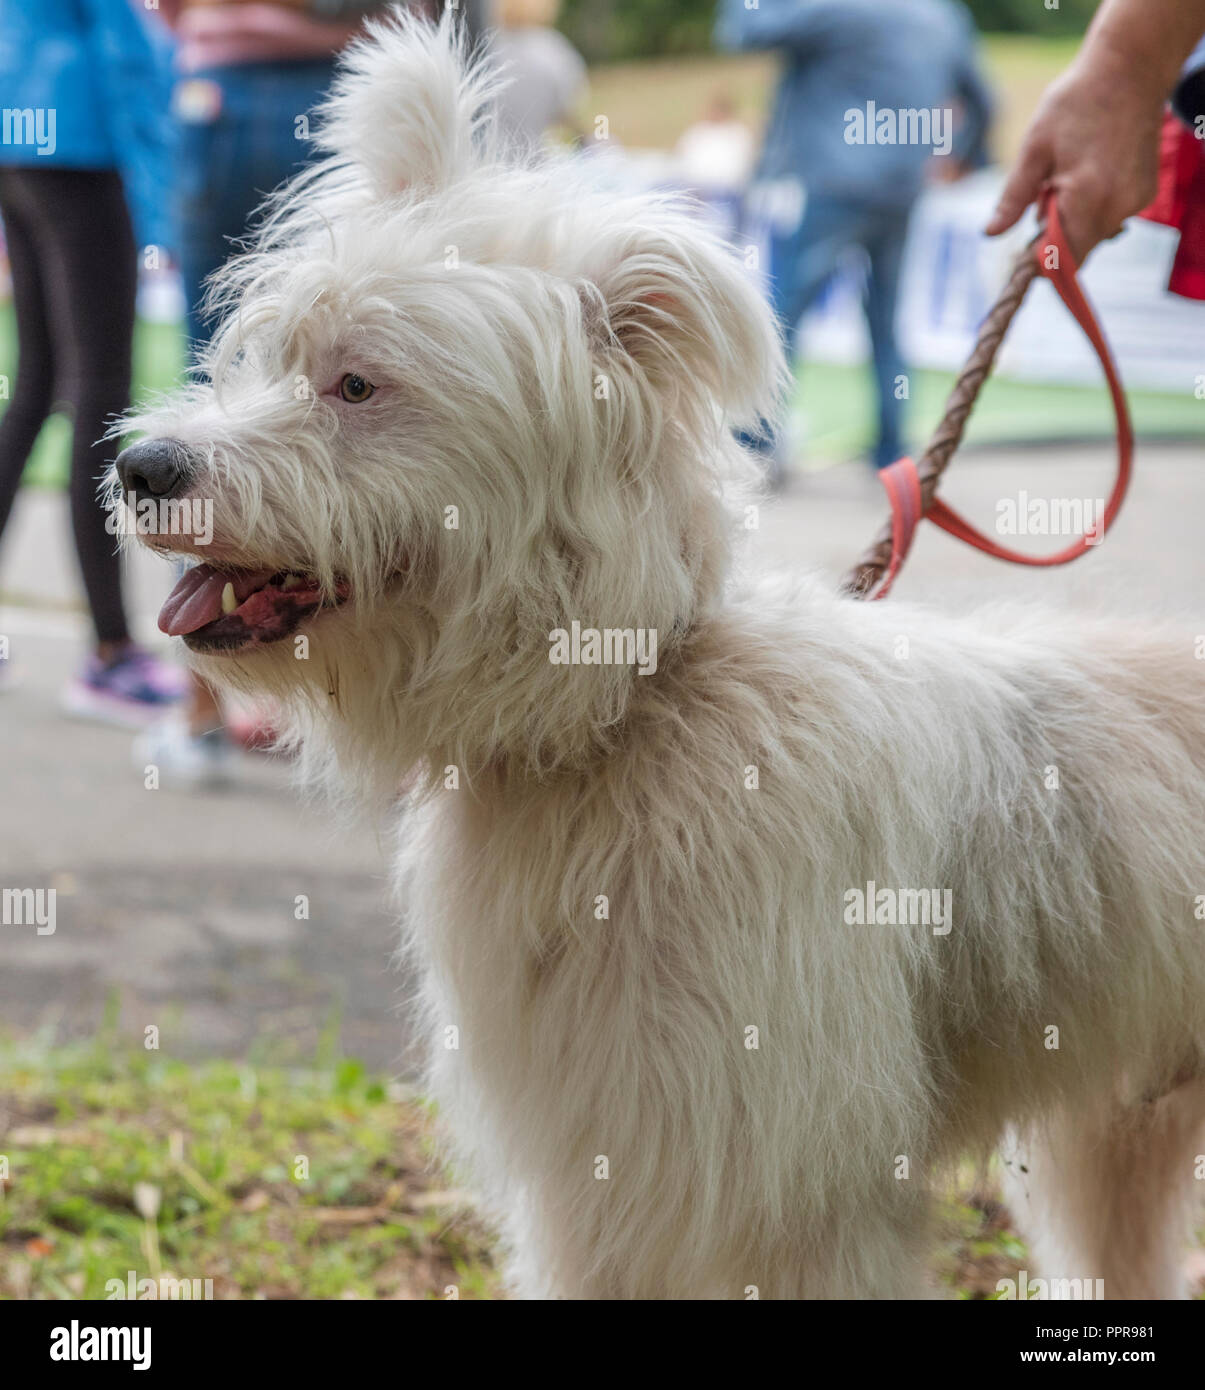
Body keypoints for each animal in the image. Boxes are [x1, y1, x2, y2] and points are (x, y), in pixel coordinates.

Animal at [113, 10, 1205, 1295]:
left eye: (358, 383)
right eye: (264, 359)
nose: (141, 468)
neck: (624, 712)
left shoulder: (784, 1189)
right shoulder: (600, 1169)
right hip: (1123, 1133)